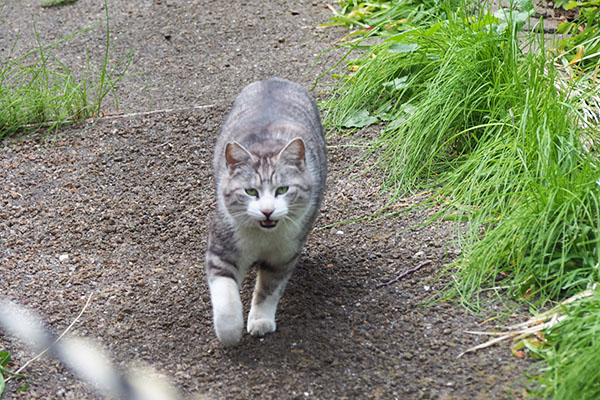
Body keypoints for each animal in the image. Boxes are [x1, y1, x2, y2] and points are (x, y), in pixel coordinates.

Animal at [206, 78, 328, 346]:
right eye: (250, 191)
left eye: (282, 189)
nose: (267, 211)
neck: (263, 237)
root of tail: (273, 80)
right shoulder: (222, 247)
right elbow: (226, 299)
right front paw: (230, 333)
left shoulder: (284, 254)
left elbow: (268, 290)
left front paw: (260, 321)